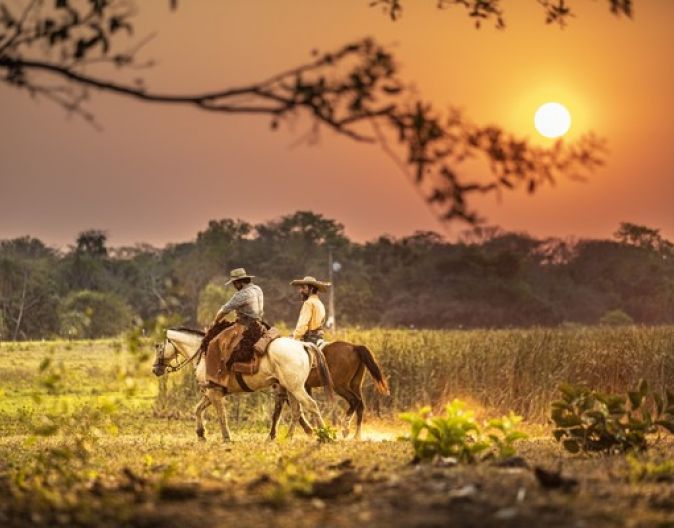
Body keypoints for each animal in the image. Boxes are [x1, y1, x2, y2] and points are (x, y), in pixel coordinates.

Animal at [151, 326, 332, 442]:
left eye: (159, 347)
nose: (155, 369)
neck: (204, 354)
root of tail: (302, 344)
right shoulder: (211, 393)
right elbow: (198, 409)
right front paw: (201, 434)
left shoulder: (214, 393)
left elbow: (221, 416)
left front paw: (226, 437)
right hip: (290, 389)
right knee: (296, 411)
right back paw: (288, 437)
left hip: (296, 388)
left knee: (312, 405)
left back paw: (325, 435)